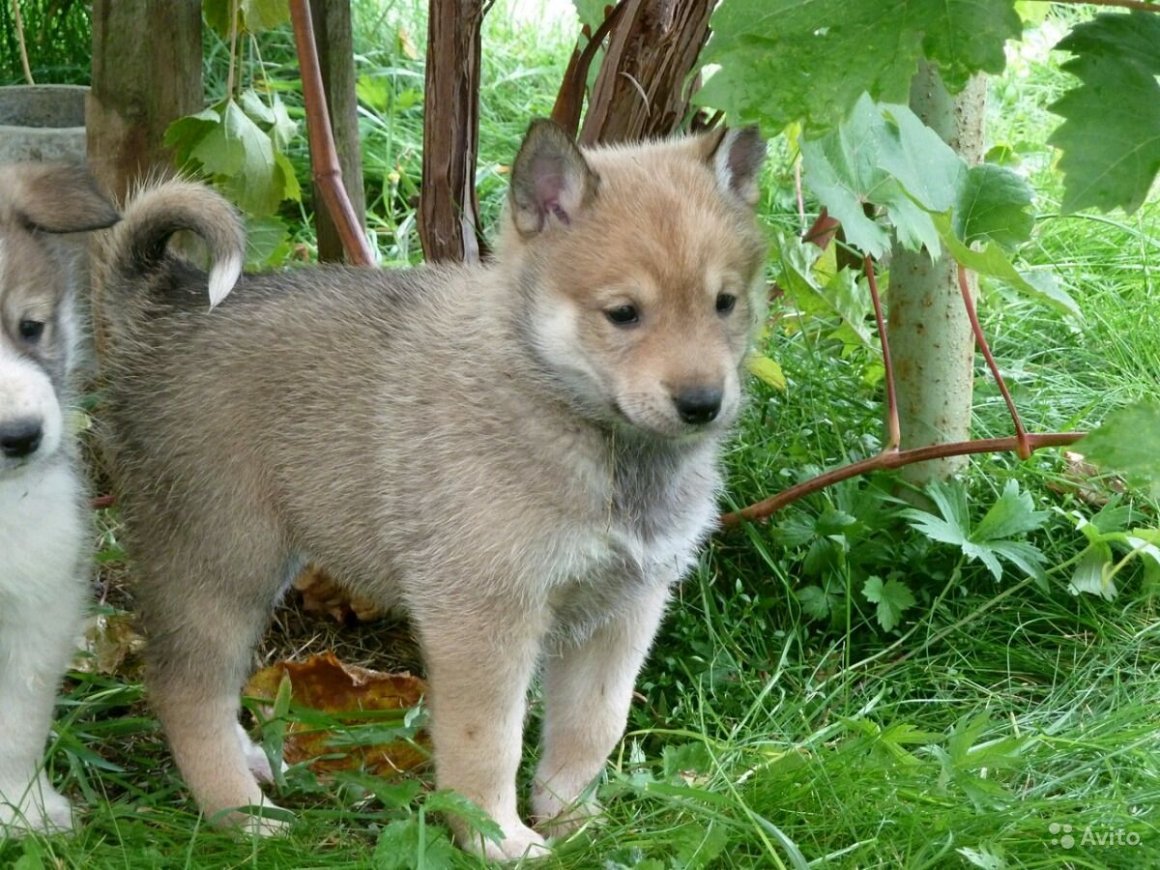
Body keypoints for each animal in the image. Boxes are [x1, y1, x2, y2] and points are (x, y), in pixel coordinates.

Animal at [97, 119, 770, 863]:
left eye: (725, 303)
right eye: (623, 314)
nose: (703, 404)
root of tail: (161, 306)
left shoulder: (624, 610)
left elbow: (593, 726)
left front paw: (573, 820)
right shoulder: (484, 618)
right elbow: (488, 745)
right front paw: (497, 838)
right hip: (222, 565)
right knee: (185, 690)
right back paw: (240, 816)